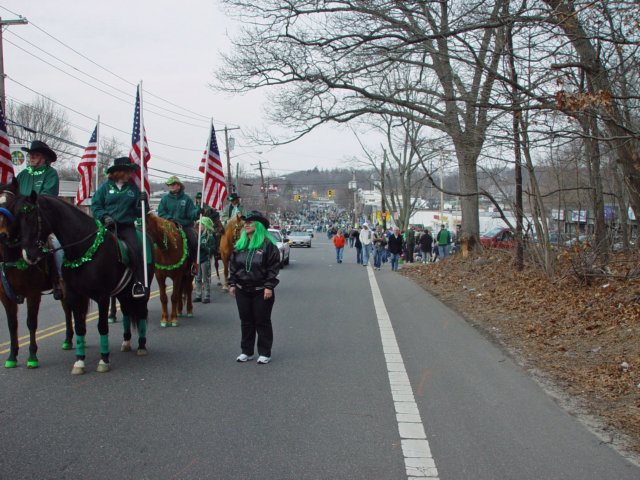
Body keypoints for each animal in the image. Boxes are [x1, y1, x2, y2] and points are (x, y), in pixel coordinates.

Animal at [0, 182, 74, 370]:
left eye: (11, 205)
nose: (1, 234)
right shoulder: (5, 296)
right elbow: (12, 324)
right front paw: (12, 356)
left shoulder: (33, 294)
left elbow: (31, 322)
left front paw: (32, 356)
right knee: (67, 309)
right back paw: (68, 339)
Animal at [13, 191, 154, 376]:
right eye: (18, 219)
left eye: (32, 217)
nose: (28, 255)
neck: (83, 248)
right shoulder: (74, 295)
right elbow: (79, 327)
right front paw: (79, 362)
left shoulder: (102, 297)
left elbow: (102, 326)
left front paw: (104, 360)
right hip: (122, 292)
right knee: (126, 312)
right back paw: (126, 342)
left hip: (143, 289)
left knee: (142, 312)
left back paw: (142, 345)